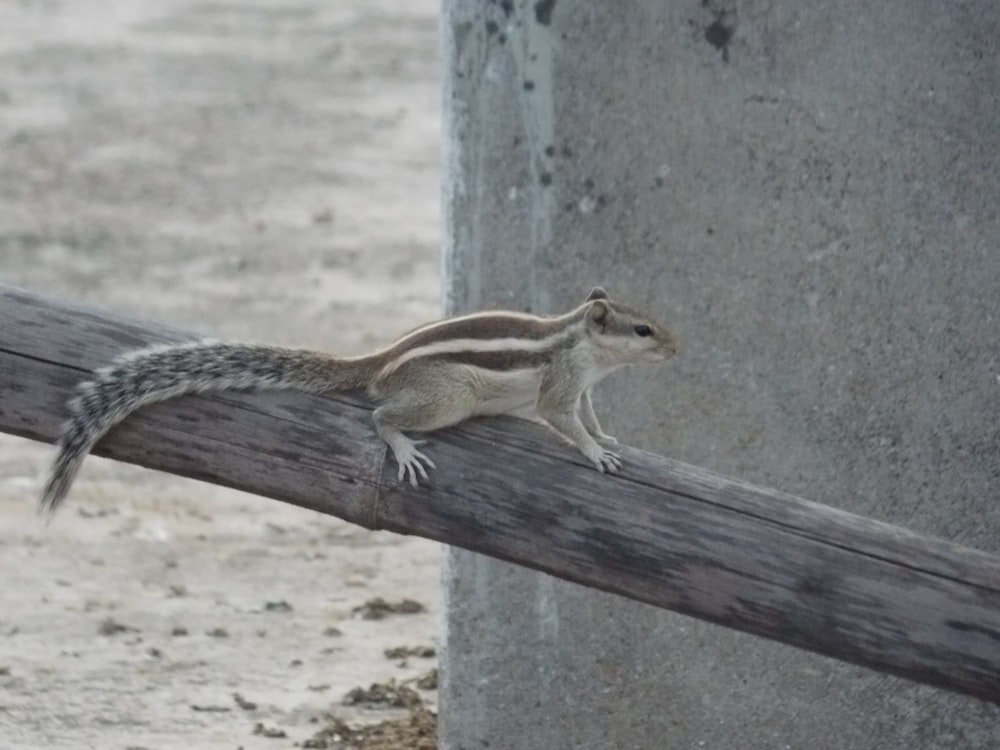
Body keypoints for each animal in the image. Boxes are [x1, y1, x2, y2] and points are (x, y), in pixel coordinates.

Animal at [39, 288, 680, 516]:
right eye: (643, 329)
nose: (677, 347)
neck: (585, 347)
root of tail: (380, 360)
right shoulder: (560, 386)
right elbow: (560, 421)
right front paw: (595, 453)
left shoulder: (584, 388)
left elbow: (590, 416)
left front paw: (609, 438)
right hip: (448, 396)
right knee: (379, 414)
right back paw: (400, 444)